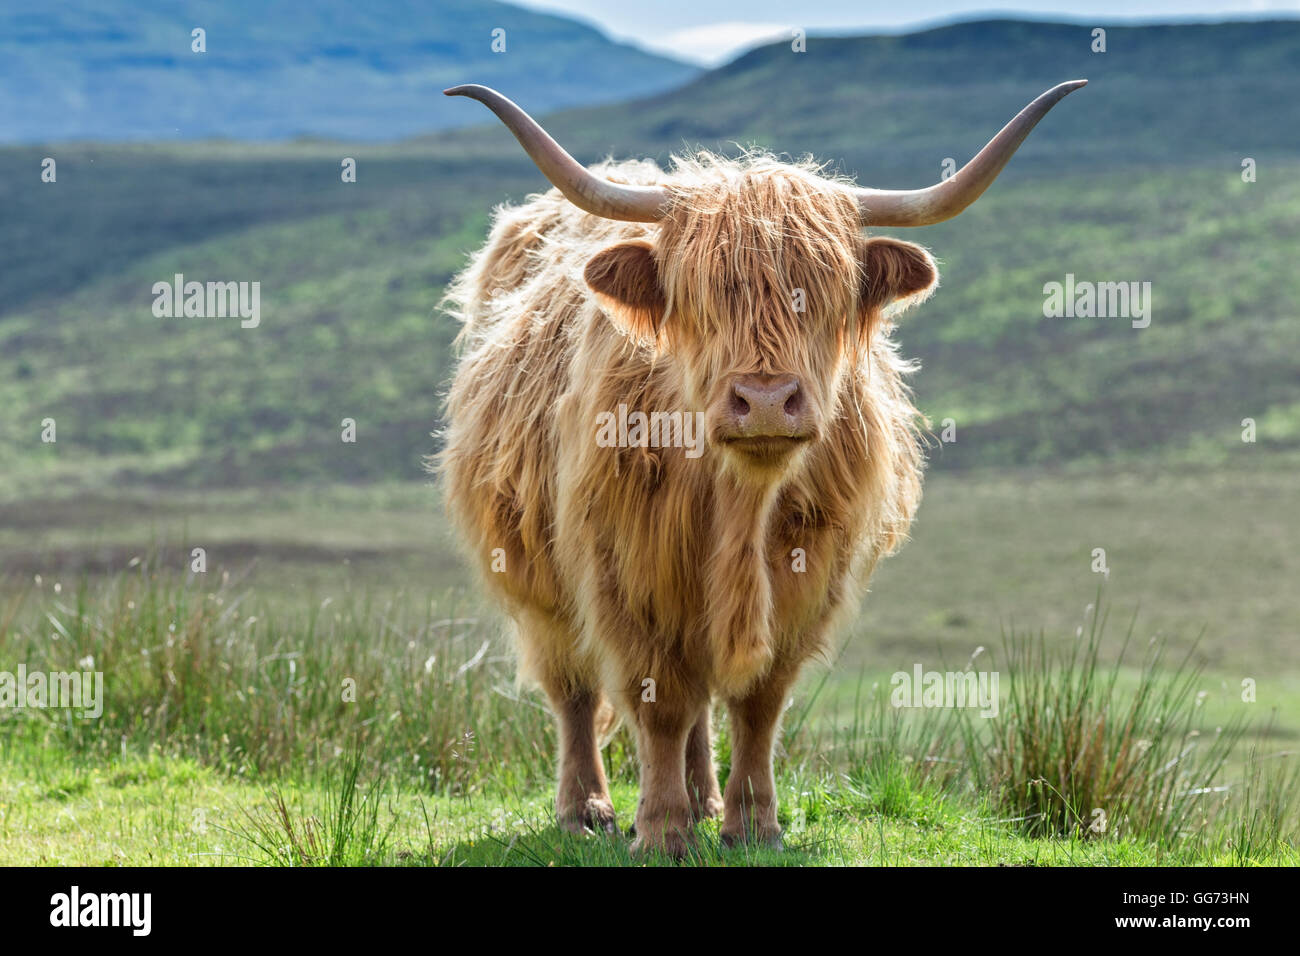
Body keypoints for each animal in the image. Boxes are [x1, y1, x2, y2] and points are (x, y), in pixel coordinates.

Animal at [436, 82, 1086, 858]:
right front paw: (661, 831)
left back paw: (706, 800)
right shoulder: (625, 570)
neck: (742, 500)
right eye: (702, 293)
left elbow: (758, 702)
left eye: (824, 293)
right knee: (573, 689)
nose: (767, 400)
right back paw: (586, 809)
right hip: (533, 573)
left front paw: (752, 823)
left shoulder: (810, 576)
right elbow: (659, 701)